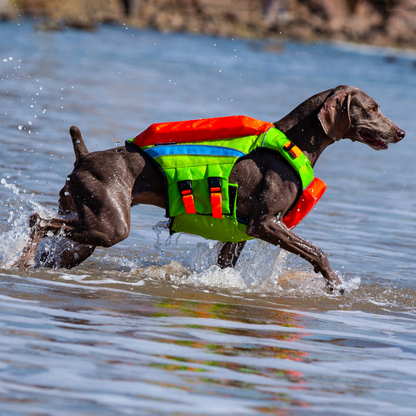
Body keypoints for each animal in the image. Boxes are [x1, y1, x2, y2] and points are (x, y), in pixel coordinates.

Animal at [16, 85, 404, 290]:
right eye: (372, 108)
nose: (400, 132)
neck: (292, 143)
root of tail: (83, 156)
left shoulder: (238, 233)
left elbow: (225, 265)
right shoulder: (265, 223)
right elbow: (317, 252)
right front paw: (336, 284)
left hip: (84, 230)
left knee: (52, 240)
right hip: (109, 225)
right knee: (39, 220)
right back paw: (21, 261)